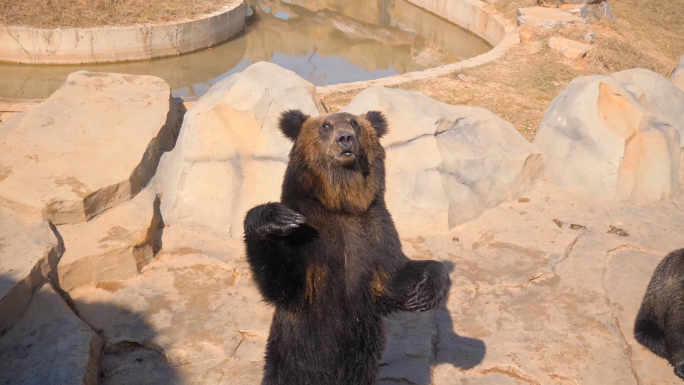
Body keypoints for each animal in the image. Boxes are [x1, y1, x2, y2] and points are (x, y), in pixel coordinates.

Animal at [243, 109, 452, 384]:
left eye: (354, 122)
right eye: (326, 125)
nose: (345, 138)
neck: (341, 203)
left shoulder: (376, 229)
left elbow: (392, 276)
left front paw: (424, 292)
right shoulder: (310, 241)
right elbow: (283, 280)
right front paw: (274, 219)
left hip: (364, 353)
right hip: (293, 353)